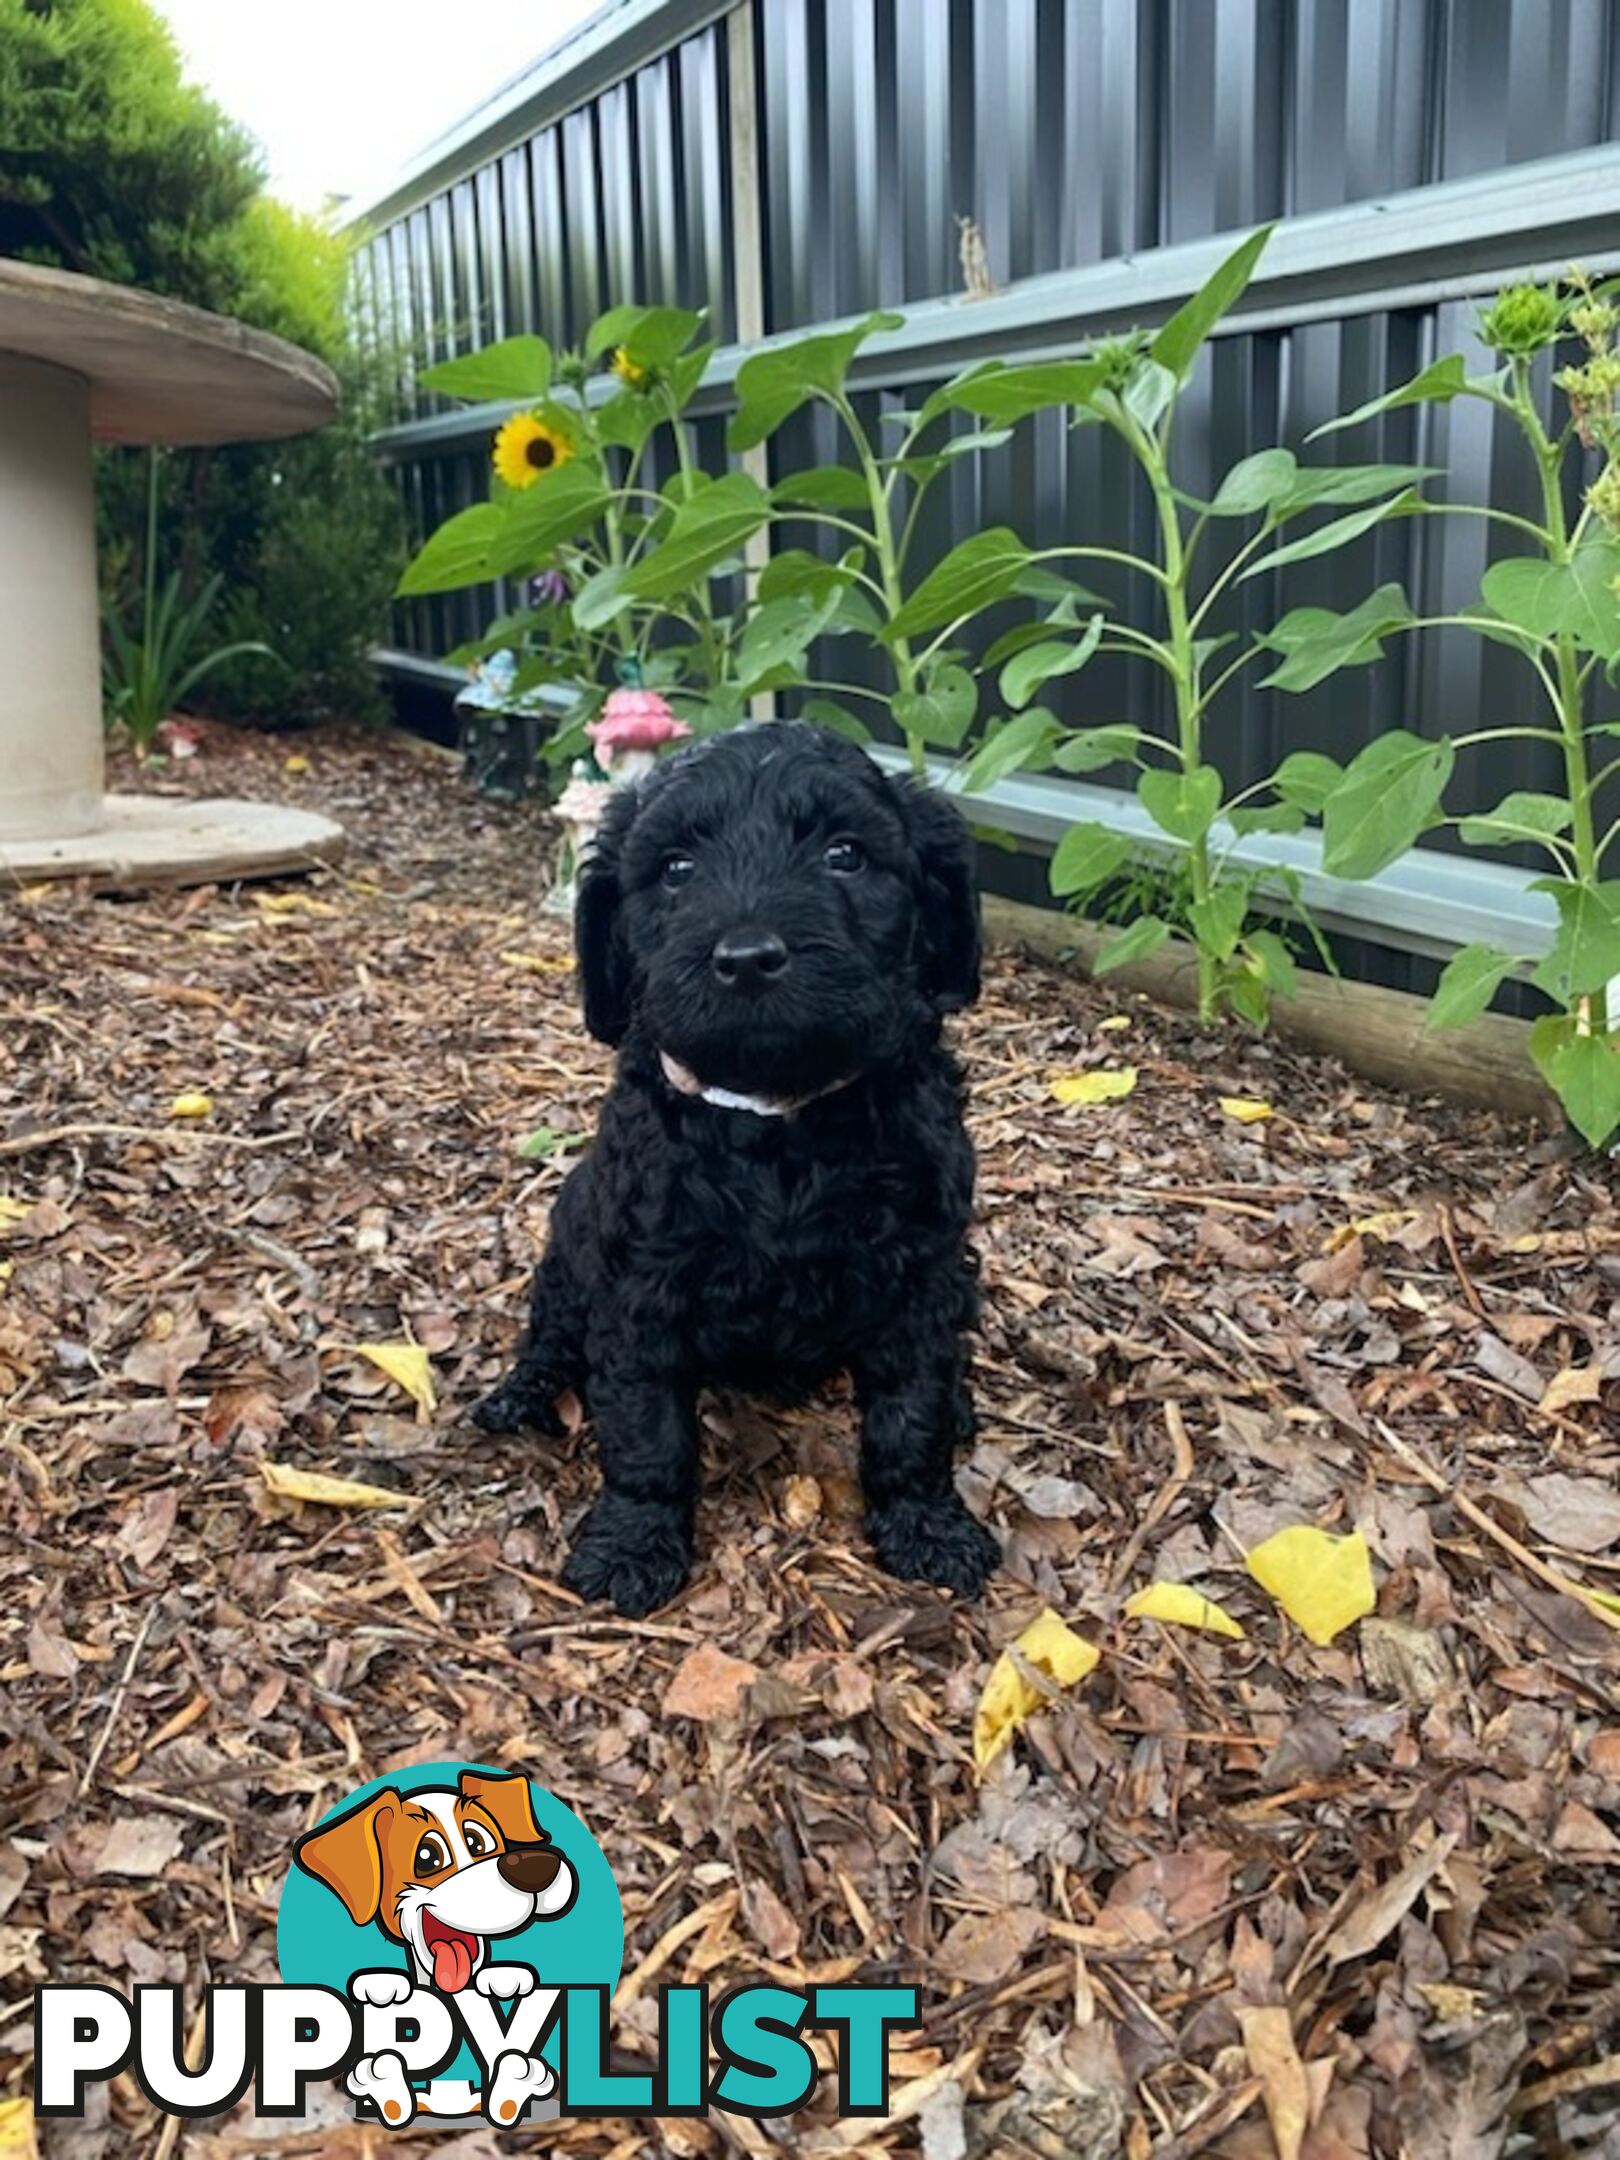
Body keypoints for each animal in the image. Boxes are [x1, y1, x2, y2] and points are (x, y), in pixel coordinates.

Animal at [473, 725, 1002, 1624]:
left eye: (845, 854)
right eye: (676, 867)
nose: (748, 959)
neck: (776, 1123)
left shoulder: (922, 1278)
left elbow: (911, 1412)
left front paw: (929, 1526)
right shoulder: (639, 1290)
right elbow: (646, 1430)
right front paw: (633, 1544)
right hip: (569, 1251)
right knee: (549, 1335)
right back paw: (522, 1394)